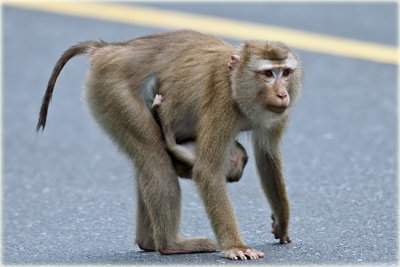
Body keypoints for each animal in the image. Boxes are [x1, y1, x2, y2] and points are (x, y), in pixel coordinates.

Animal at [37, 29, 302, 262]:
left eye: (285, 73)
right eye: (268, 74)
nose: (282, 94)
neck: (237, 85)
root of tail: (108, 49)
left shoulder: (278, 114)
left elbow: (267, 157)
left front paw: (281, 224)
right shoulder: (221, 102)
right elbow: (208, 171)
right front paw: (236, 247)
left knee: (146, 162)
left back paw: (148, 241)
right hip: (112, 90)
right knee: (154, 157)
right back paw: (170, 245)